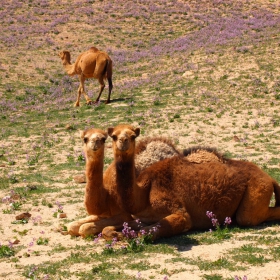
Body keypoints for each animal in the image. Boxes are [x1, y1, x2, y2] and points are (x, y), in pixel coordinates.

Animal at [108, 123, 280, 240]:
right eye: (114, 136)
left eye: (133, 136)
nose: (123, 141)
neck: (143, 192)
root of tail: (270, 178)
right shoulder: (143, 218)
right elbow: (108, 230)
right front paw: (117, 234)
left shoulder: (178, 211)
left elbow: (148, 232)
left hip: (255, 193)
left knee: (248, 218)